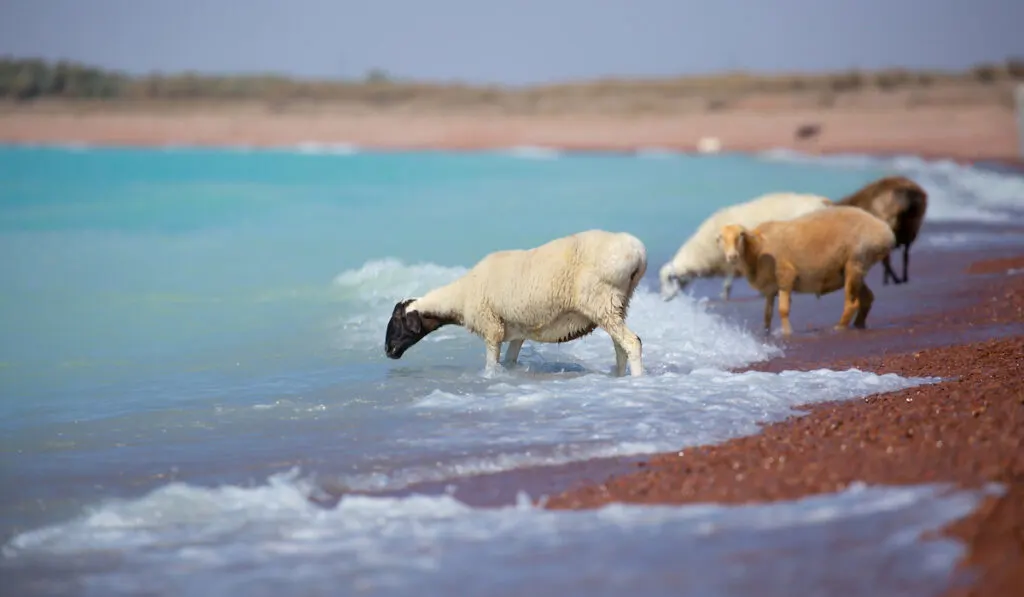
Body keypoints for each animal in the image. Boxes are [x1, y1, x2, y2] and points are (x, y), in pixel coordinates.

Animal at [385, 230, 647, 376]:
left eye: (398, 321)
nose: (388, 351)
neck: (460, 297)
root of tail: (638, 253)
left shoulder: (492, 328)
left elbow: (492, 365)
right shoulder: (518, 331)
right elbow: (510, 361)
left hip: (601, 301)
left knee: (632, 343)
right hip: (616, 305)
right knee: (620, 348)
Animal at [659, 192, 835, 301]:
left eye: (669, 280)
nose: (663, 299)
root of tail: (822, 200)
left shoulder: (733, 259)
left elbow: (728, 282)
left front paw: (724, 296)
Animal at [712, 205, 897, 335]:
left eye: (741, 235)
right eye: (720, 239)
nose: (732, 256)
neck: (758, 249)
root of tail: (885, 231)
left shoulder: (786, 276)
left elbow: (783, 310)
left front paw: (787, 333)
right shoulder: (770, 288)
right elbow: (767, 314)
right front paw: (766, 334)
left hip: (855, 261)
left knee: (852, 303)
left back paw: (839, 327)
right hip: (855, 268)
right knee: (867, 298)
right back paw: (859, 325)